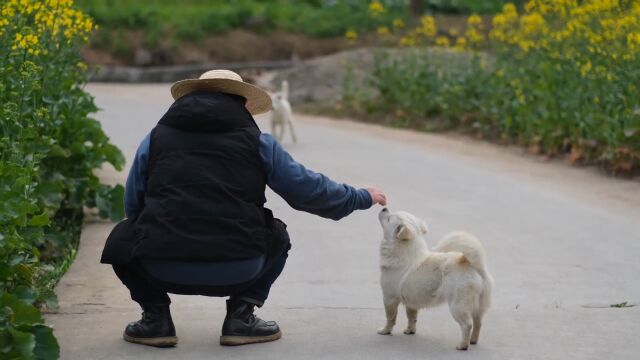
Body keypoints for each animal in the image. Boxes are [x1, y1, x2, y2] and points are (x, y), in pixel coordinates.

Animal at [378, 208, 492, 352]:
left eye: (389, 218)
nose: (384, 208)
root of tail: (472, 264)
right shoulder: (411, 301)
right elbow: (412, 316)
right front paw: (410, 330)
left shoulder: (389, 298)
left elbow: (390, 317)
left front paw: (385, 330)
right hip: (478, 307)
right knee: (478, 323)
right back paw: (473, 340)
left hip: (457, 306)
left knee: (467, 325)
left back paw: (462, 345)